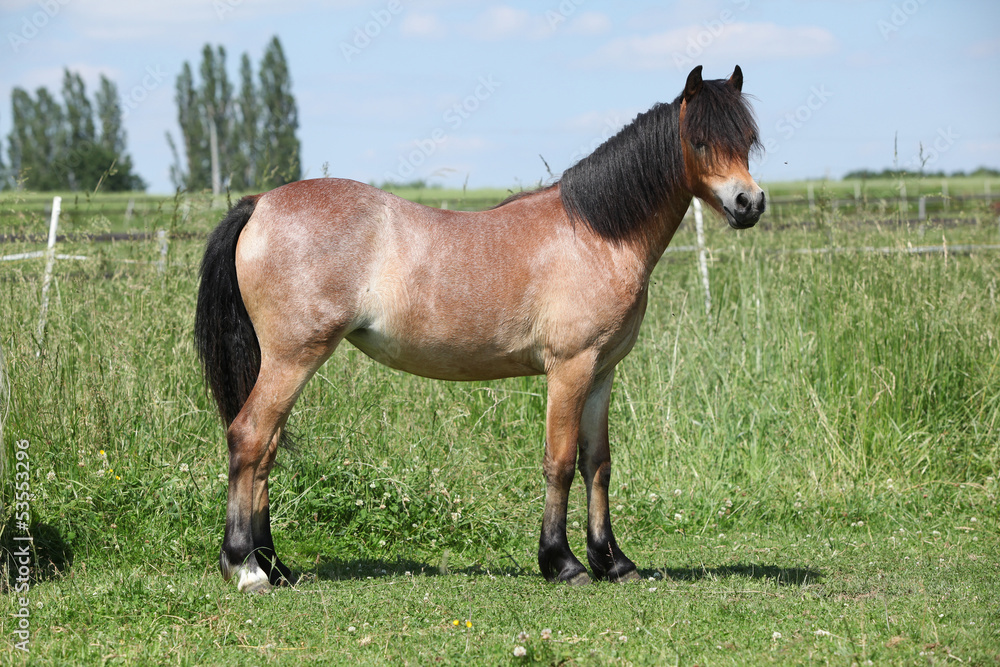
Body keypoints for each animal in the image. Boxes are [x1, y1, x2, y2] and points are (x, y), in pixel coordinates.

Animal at [199, 64, 768, 596]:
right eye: (699, 140)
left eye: (746, 140)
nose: (750, 203)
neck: (597, 235)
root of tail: (260, 203)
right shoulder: (570, 368)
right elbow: (560, 461)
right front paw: (562, 563)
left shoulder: (602, 372)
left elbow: (597, 463)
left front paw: (613, 562)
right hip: (293, 357)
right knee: (249, 438)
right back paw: (245, 568)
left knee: (266, 450)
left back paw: (276, 566)